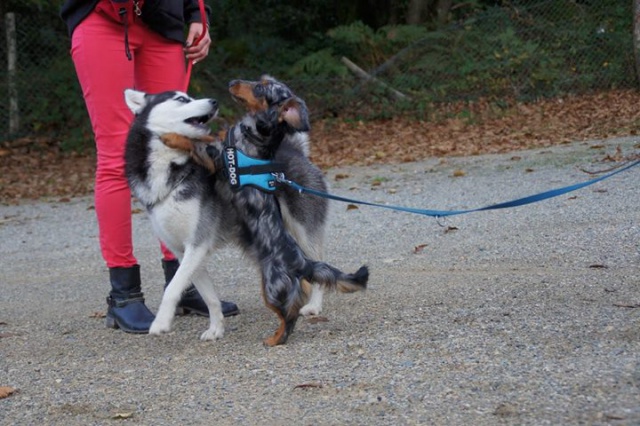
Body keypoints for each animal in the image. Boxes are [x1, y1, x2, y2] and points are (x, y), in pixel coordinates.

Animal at [124, 88, 370, 344]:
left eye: (188, 96)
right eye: (181, 99)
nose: (214, 101)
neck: (173, 168)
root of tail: (295, 151)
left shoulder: (198, 243)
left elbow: (172, 288)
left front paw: (161, 321)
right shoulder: (184, 251)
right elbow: (207, 295)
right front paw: (216, 328)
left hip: (303, 232)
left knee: (318, 267)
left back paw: (312, 306)